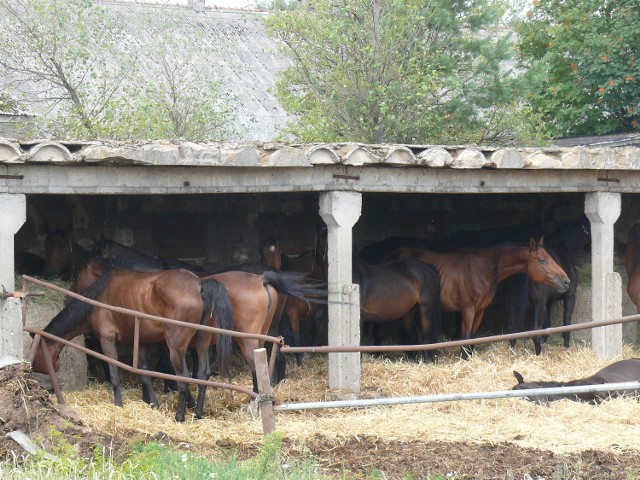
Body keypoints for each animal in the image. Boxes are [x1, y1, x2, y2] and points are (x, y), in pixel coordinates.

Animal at [30, 268, 235, 422]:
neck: (98, 298)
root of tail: (199, 284)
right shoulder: (142, 343)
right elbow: (145, 375)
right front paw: (153, 404)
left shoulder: (107, 340)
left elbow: (114, 375)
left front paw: (118, 405)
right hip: (200, 343)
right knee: (202, 375)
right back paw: (198, 414)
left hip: (176, 348)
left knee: (184, 378)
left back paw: (179, 417)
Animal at [380, 238, 568, 358]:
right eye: (542, 260)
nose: (566, 281)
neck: (482, 270)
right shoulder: (467, 311)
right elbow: (465, 338)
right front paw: (464, 359)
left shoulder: (479, 312)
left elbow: (473, 338)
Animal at [524, 216, 592, 354]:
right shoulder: (570, 296)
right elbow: (566, 324)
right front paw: (566, 347)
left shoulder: (548, 302)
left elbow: (547, 324)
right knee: (535, 332)